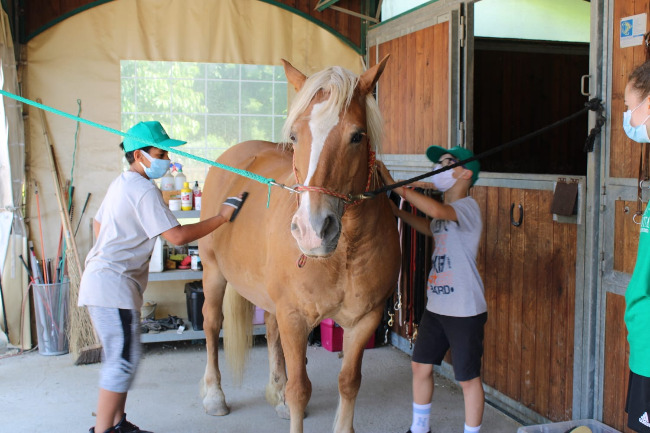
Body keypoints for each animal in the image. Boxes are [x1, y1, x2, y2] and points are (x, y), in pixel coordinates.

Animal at [197, 56, 400, 432]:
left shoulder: (364, 320)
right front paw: (287, 397)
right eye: (294, 135)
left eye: (357, 136)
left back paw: (275, 393)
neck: (343, 254)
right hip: (213, 273)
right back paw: (215, 395)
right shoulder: (294, 317)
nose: (312, 230)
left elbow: (349, 382)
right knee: (212, 324)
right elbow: (300, 390)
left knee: (271, 333)